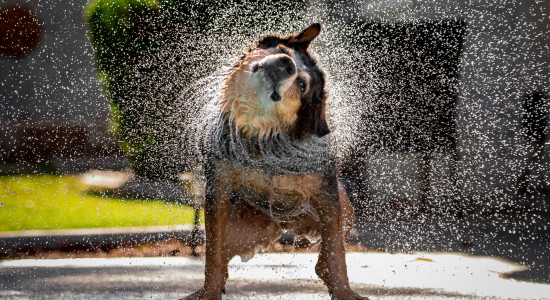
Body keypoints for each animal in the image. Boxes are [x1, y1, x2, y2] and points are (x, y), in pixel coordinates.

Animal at [183, 22, 368, 300]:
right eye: (284, 51)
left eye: (301, 85)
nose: (286, 63)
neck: (263, 139)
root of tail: (282, 223)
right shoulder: (218, 187)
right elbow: (212, 254)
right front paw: (209, 292)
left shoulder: (327, 194)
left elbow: (336, 254)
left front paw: (344, 292)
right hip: (243, 231)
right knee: (223, 256)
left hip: (344, 210)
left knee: (327, 254)